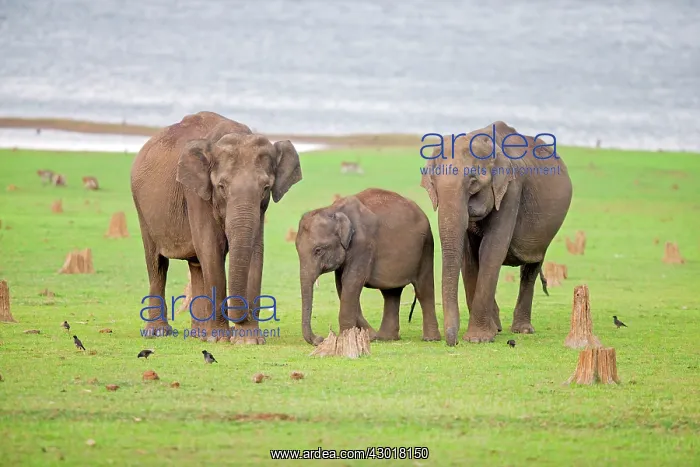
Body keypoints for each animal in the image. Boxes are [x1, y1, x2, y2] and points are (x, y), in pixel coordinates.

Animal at [130, 111, 302, 344]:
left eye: (266, 188)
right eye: (221, 186)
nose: (240, 317)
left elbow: (255, 253)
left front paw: (248, 341)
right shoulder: (196, 194)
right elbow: (211, 250)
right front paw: (220, 339)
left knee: (195, 265)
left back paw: (198, 335)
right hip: (142, 209)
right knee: (157, 263)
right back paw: (158, 333)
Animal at [295, 188, 442, 345]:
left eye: (318, 250)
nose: (319, 338)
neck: (333, 210)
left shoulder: (363, 245)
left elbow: (351, 282)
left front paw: (345, 339)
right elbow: (342, 285)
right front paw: (369, 336)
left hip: (426, 247)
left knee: (423, 289)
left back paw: (430, 339)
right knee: (391, 293)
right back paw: (386, 338)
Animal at [419, 121, 572, 345]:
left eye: (473, 182)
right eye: (433, 184)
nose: (452, 341)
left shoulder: (511, 189)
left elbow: (491, 249)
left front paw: (478, 339)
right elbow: (469, 256)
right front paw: (488, 333)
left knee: (532, 267)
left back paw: (522, 330)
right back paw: (498, 327)